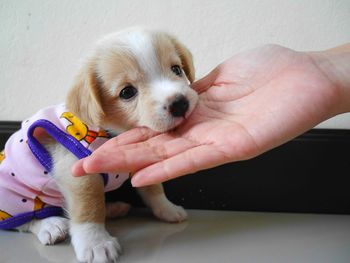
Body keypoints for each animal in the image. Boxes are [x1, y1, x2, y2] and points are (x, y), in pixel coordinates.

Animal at [0, 27, 197, 262]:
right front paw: (95, 242)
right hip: (15, 199)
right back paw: (51, 225)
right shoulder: (78, 175)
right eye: (127, 92)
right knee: (24, 220)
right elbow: (89, 208)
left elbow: (153, 188)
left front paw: (167, 209)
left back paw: (112, 208)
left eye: (176, 69)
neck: (113, 132)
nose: (179, 104)